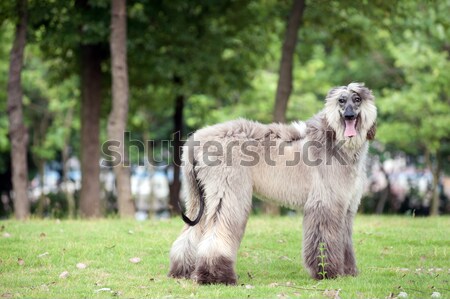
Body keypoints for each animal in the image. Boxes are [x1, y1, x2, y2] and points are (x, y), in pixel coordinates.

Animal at [169, 82, 376, 286]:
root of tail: (194, 142)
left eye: (357, 99)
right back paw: (216, 275)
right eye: (341, 100)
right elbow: (324, 239)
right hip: (227, 190)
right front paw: (326, 272)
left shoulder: (347, 206)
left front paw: (348, 271)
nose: (349, 115)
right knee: (218, 229)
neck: (335, 138)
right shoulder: (325, 202)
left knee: (190, 233)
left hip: (198, 195)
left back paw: (183, 271)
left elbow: (345, 238)